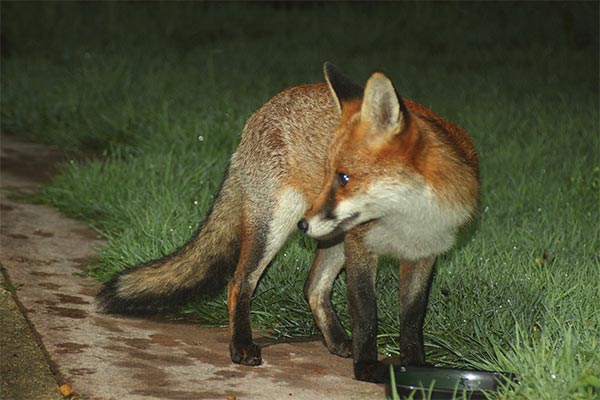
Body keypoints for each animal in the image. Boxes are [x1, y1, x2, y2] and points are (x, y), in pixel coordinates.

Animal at [97, 62, 478, 382]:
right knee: (239, 282)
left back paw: (336, 340)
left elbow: (412, 319)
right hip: (275, 225)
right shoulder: (361, 247)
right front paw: (368, 367)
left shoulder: (423, 256)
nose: (304, 227)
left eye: (343, 178)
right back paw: (241, 345)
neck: (406, 220)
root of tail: (261, 111)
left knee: (313, 287)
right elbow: (366, 314)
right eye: (330, 174)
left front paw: (416, 366)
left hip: (330, 235)